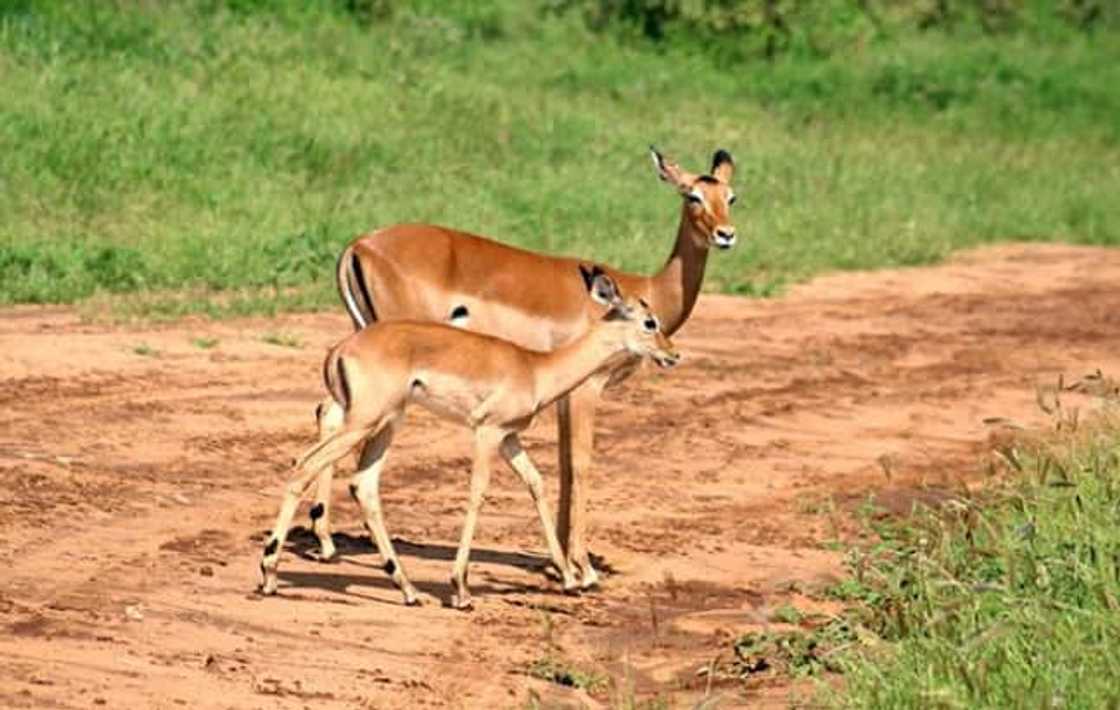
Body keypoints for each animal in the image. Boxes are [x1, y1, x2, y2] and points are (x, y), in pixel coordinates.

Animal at [259, 269, 679, 608]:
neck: (535, 369)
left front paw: (571, 579)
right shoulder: (486, 431)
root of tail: (339, 350)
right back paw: (270, 574)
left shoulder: (510, 438)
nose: (673, 355)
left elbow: (537, 483)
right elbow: (478, 493)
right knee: (306, 464)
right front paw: (460, 588)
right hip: (364, 423)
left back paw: (408, 589)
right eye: (649, 322)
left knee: (362, 483)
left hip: (387, 423)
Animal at [309, 147, 737, 589]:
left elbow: (562, 466)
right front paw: (583, 569)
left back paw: (326, 542)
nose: (726, 234)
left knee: (328, 412)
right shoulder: (587, 388)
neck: (646, 290)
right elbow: (580, 465)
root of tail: (359, 246)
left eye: (731, 196)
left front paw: (561, 563)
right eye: (692, 196)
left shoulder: (561, 397)